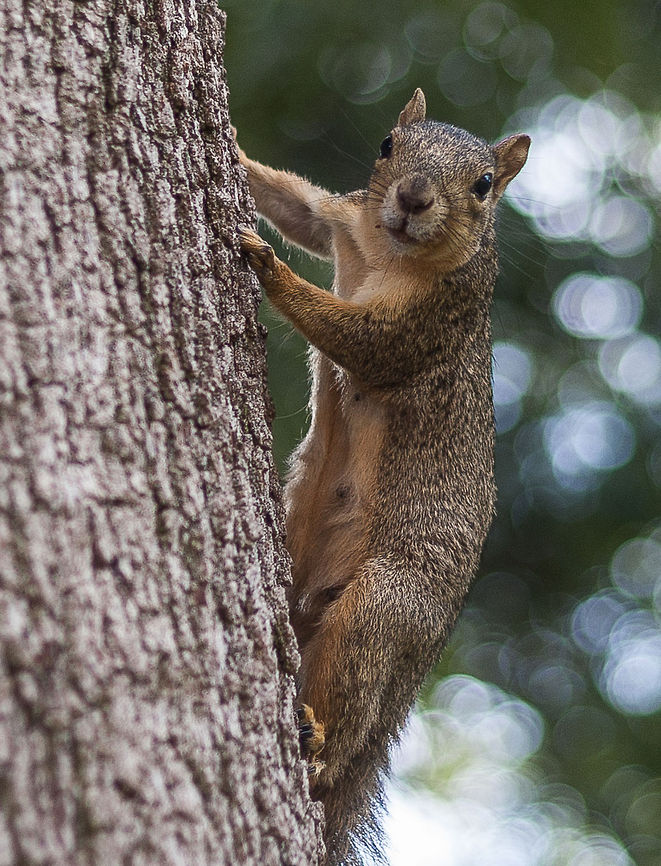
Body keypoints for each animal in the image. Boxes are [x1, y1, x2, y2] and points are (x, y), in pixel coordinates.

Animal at [236, 89, 530, 865]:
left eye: (483, 185)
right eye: (387, 146)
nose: (412, 198)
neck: (393, 253)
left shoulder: (429, 324)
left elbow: (360, 339)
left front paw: (268, 267)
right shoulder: (344, 222)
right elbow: (295, 205)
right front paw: (236, 153)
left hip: (385, 606)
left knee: (352, 692)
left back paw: (317, 745)